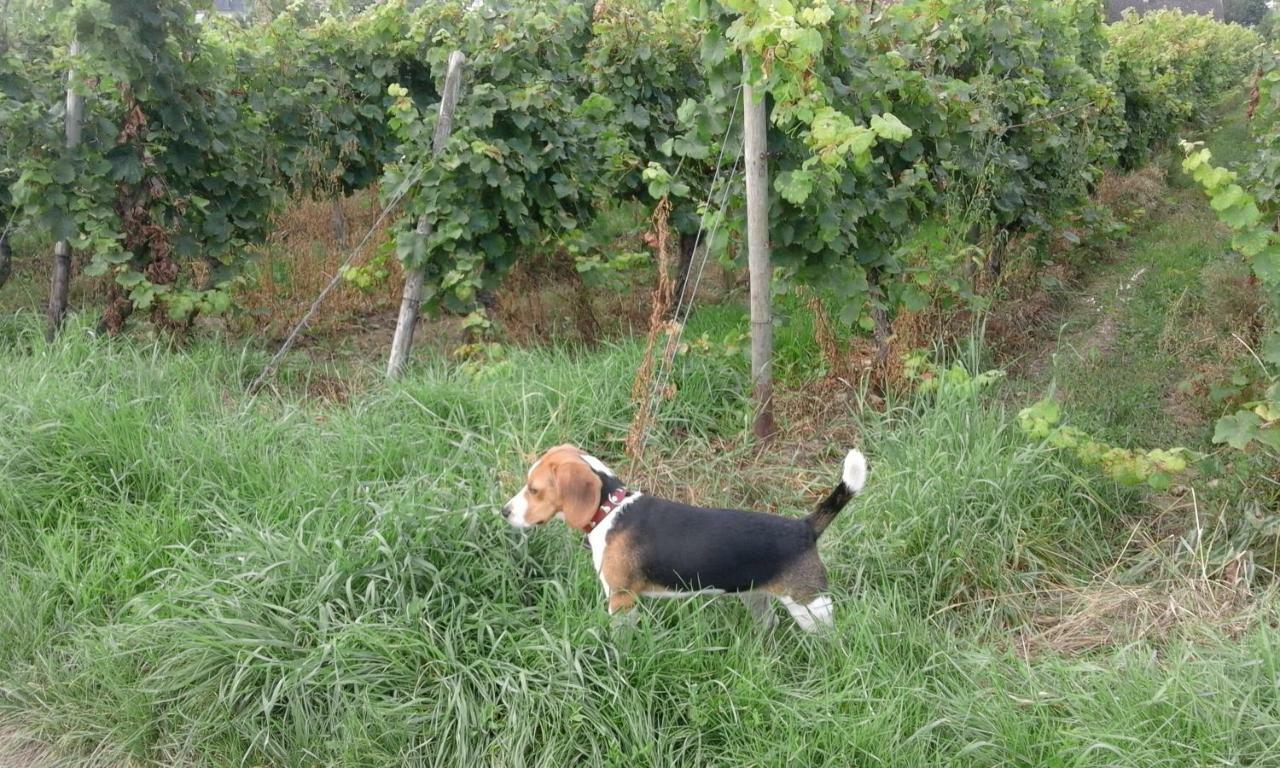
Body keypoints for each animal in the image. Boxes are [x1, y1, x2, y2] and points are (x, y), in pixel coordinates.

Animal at [499, 442, 870, 629]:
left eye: (534, 490)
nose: (504, 511)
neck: (610, 508)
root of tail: (804, 528)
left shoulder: (620, 599)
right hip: (756, 597)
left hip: (811, 607)